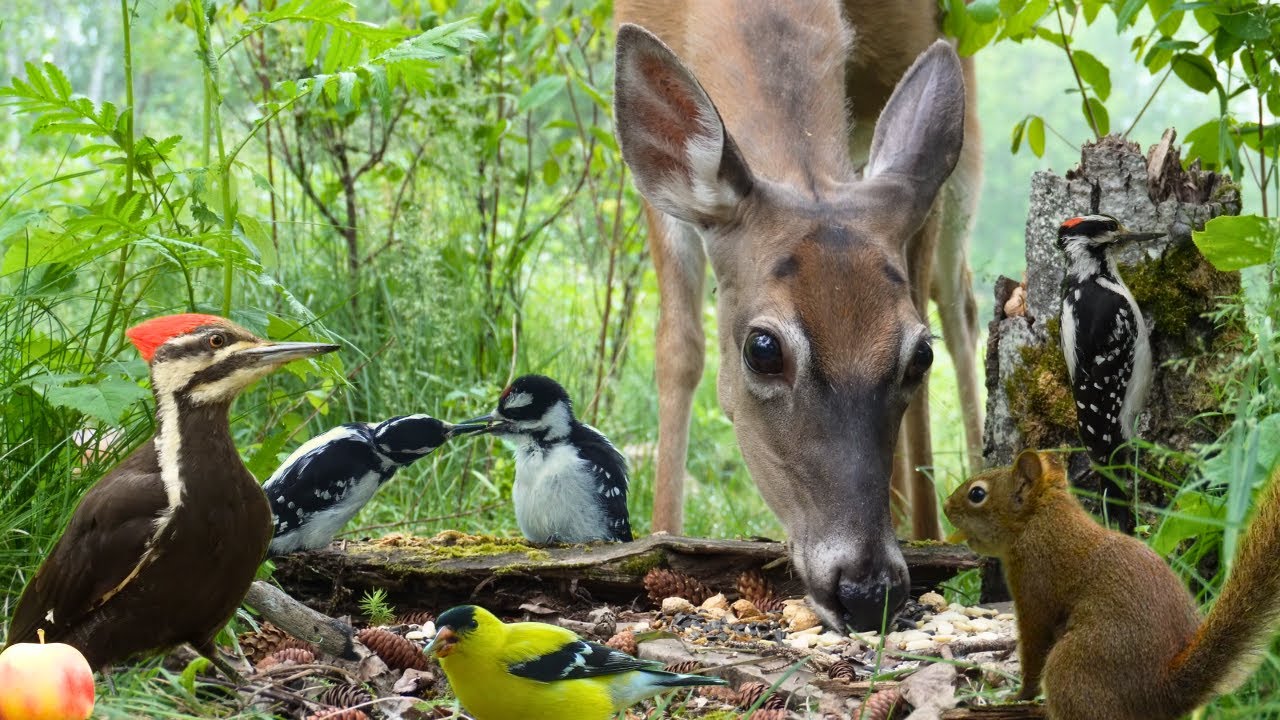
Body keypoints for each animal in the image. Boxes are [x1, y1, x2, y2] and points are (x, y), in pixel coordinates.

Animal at [612, 0, 983, 630]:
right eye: (762, 349)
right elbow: (678, 348)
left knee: (962, 302)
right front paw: (661, 535)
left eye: (919, 355)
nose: (868, 591)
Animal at [944, 449, 1280, 720]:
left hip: (1072, 667)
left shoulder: (1032, 585)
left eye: (977, 494)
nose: (946, 507)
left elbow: (1033, 646)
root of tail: (1164, 692)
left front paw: (1017, 696)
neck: (1040, 518)